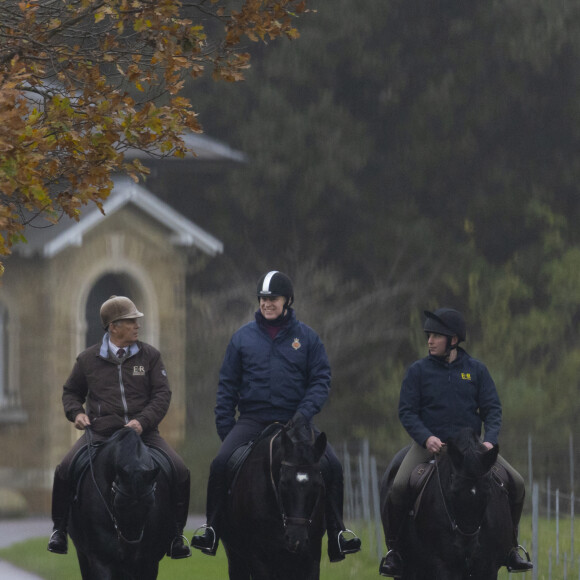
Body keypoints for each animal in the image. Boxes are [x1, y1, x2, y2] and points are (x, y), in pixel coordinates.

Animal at [222, 422, 328, 580]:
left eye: (317, 484)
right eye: (283, 482)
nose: (296, 539)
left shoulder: (311, 559)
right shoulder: (260, 559)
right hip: (236, 558)